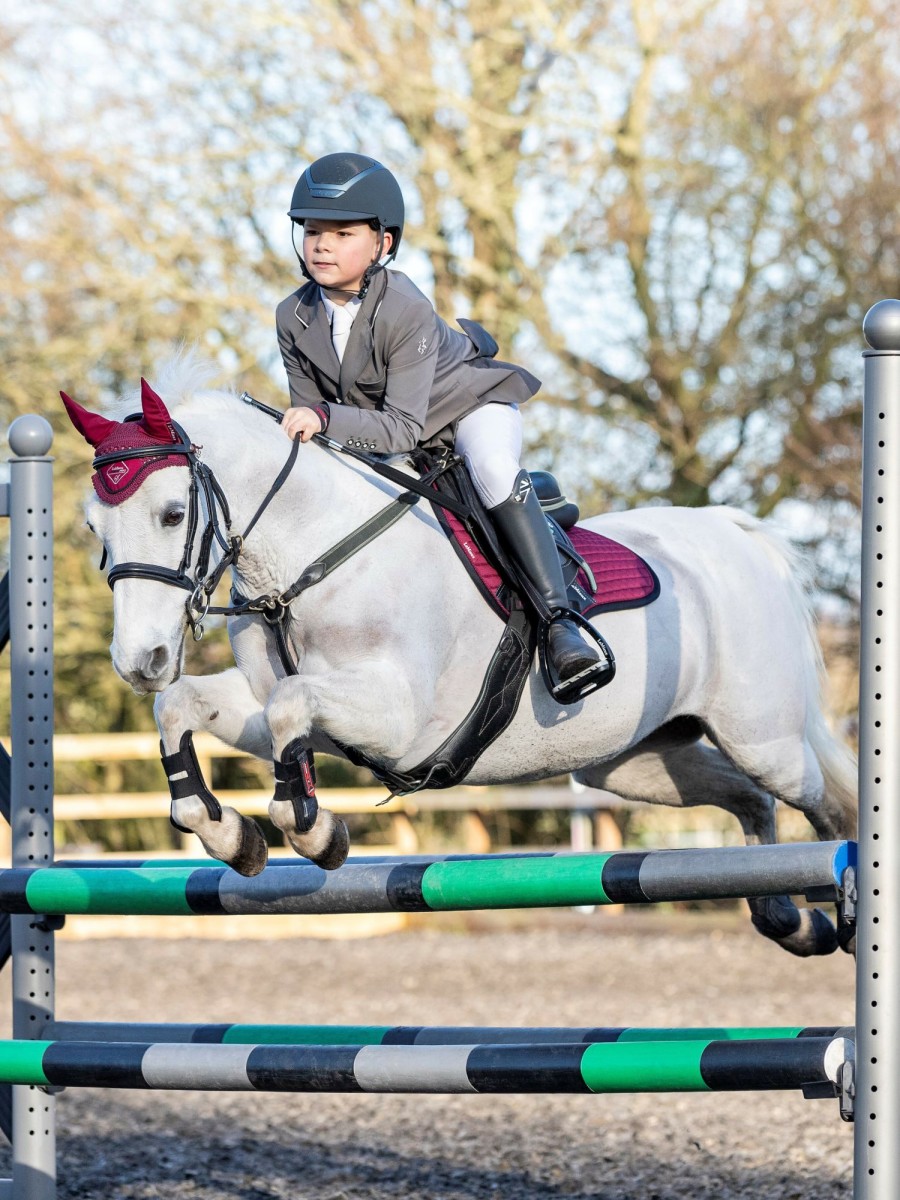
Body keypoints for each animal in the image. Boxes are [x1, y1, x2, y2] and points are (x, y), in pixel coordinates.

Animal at [63, 352, 859, 955]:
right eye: (93, 525)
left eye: (173, 514)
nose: (140, 660)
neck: (313, 554)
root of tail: (734, 532)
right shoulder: (290, 710)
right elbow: (187, 706)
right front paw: (227, 834)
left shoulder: (399, 720)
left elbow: (292, 708)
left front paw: (314, 830)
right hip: (639, 761)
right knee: (751, 802)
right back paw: (786, 918)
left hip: (764, 739)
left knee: (825, 810)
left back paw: (838, 909)